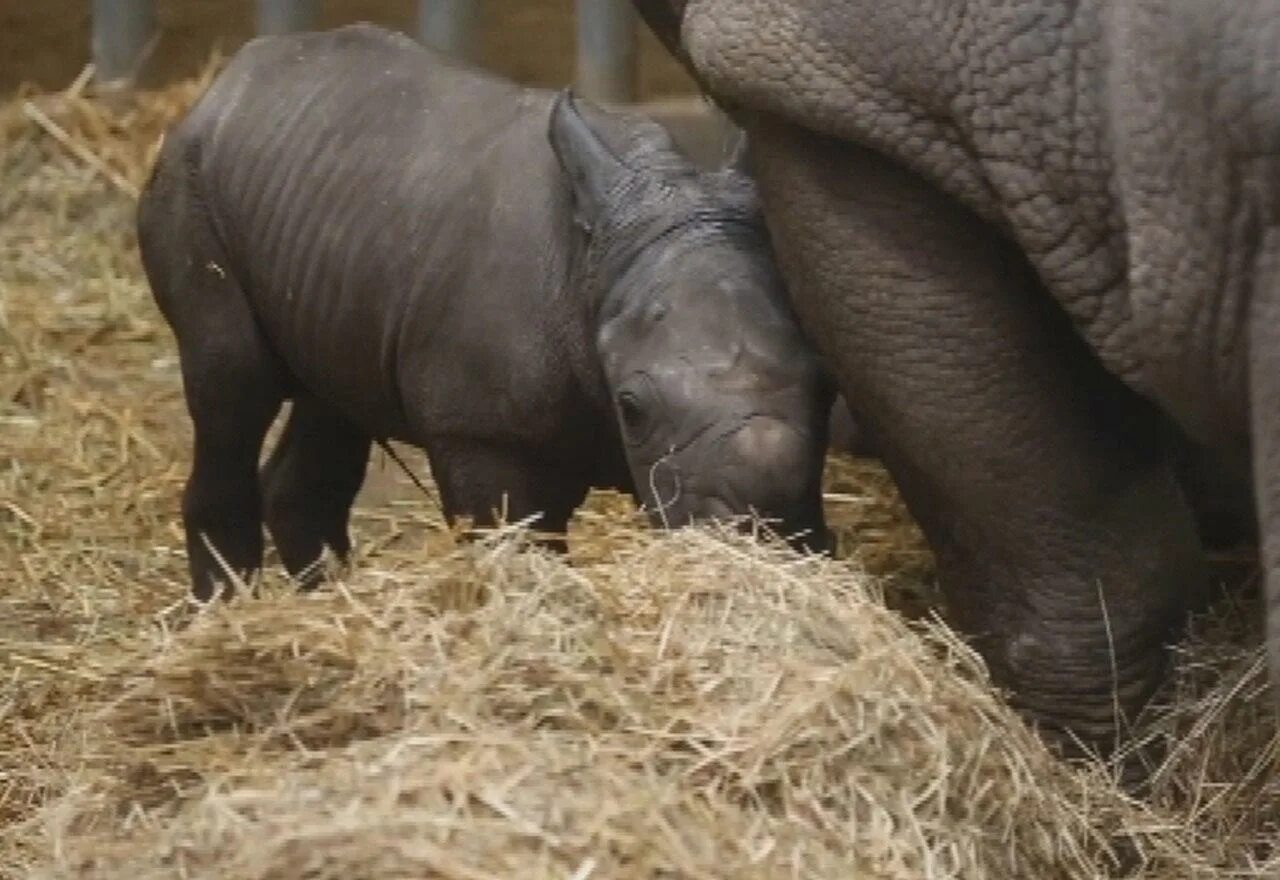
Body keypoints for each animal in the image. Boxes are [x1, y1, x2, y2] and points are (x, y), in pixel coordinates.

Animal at [137, 23, 829, 598]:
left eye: (829, 394)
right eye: (632, 409)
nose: (757, 519)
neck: (597, 264)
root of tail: (222, 85)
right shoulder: (480, 432)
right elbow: (514, 544)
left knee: (330, 399)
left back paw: (323, 599)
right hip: (190, 182)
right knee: (231, 388)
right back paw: (228, 610)